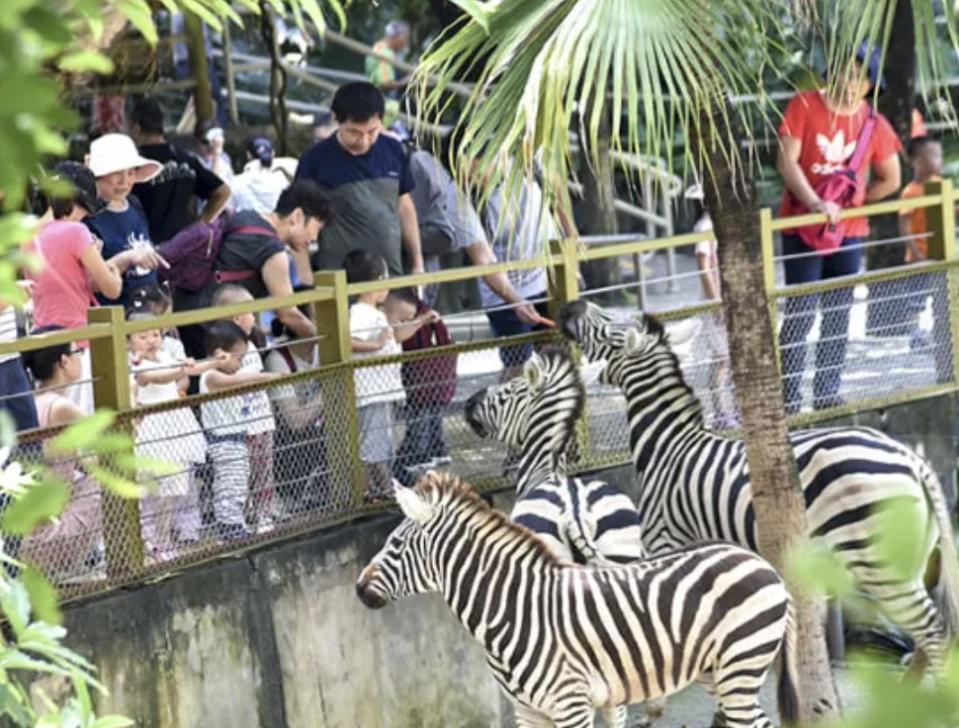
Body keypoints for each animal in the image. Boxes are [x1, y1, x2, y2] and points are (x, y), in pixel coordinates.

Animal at [356, 472, 800, 728]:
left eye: (395, 545)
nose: (358, 589)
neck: (512, 609)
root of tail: (763, 564)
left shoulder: (570, 702)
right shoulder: (529, 711)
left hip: (742, 663)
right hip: (716, 670)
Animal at [556, 294, 959, 676]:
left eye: (608, 325)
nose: (569, 306)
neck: (668, 444)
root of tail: (912, 458)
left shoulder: (666, 543)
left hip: (878, 560)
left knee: (933, 631)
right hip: (911, 557)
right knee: (930, 634)